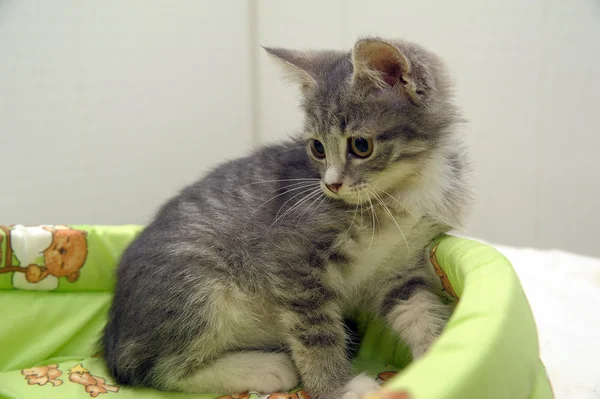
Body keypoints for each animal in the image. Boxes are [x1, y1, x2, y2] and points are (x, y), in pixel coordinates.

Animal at [102, 38, 468, 399]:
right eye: (318, 148)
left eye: (361, 145)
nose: (331, 185)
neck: (399, 193)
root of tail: (114, 334)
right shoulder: (292, 261)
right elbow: (315, 332)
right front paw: (337, 387)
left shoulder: (398, 267)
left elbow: (419, 310)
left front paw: (440, 360)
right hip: (200, 284)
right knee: (160, 368)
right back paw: (266, 367)